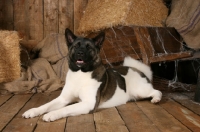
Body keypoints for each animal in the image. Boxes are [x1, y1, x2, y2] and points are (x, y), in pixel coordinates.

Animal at [22, 27, 162, 121]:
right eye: (76, 46)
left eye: (89, 47)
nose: (80, 53)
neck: (80, 73)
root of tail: (137, 69)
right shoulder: (63, 99)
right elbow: (46, 105)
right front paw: (33, 111)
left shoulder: (88, 103)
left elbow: (65, 108)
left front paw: (52, 114)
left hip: (140, 90)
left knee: (157, 91)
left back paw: (156, 99)